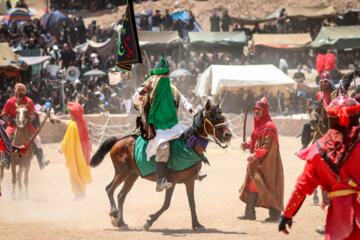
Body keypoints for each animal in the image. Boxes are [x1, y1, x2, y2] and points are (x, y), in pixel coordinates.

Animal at [89, 100, 231, 232]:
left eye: (222, 116)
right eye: (213, 117)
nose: (228, 135)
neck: (187, 147)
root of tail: (118, 141)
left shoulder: (190, 180)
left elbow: (192, 203)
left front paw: (197, 225)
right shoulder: (172, 181)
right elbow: (166, 204)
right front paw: (148, 222)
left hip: (132, 175)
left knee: (121, 196)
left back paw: (121, 222)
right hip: (121, 172)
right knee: (109, 189)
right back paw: (114, 213)